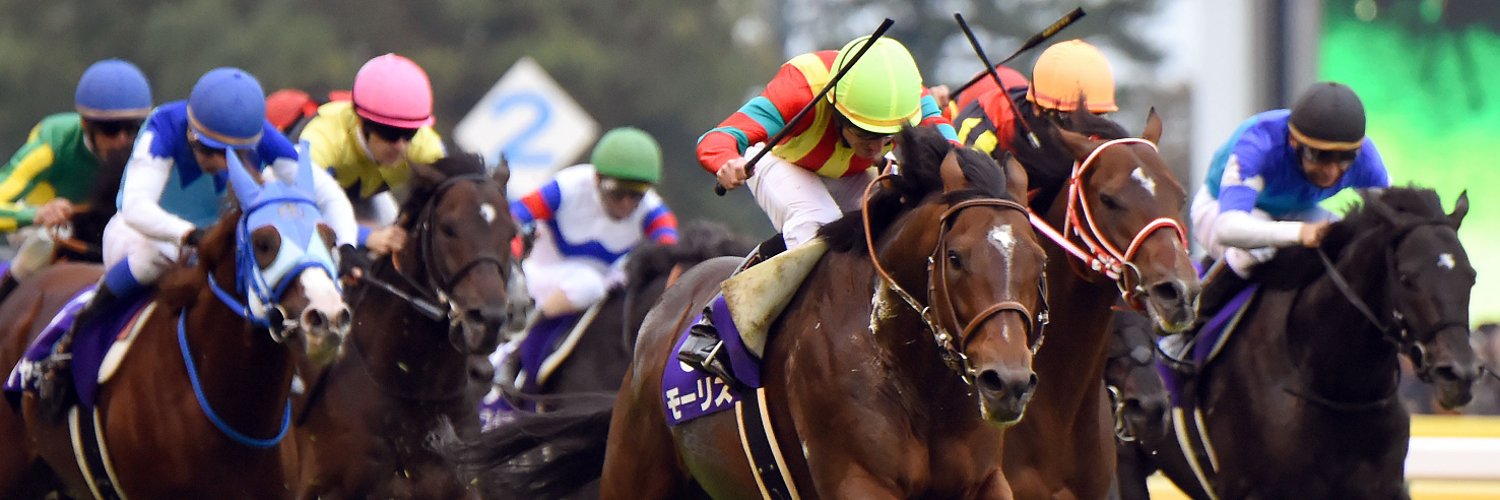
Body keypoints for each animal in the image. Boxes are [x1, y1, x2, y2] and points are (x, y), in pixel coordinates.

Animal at [449, 126, 1051, 498]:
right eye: (955, 258)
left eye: (1040, 259)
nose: (1007, 382)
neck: (912, 376)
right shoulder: (857, 481)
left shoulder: (984, 482)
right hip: (634, 471)